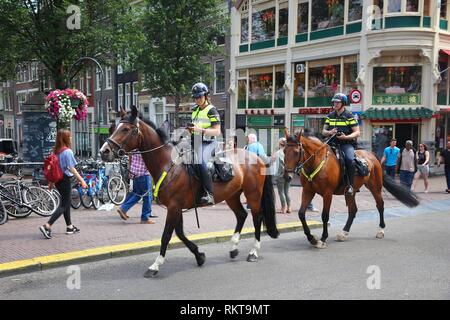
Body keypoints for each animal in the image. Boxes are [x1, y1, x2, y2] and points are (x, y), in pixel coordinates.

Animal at [100, 105, 280, 278]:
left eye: (126, 129)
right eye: (114, 127)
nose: (104, 151)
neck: (168, 165)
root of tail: (258, 157)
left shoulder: (174, 207)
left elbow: (166, 236)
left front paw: (155, 266)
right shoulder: (176, 207)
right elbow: (179, 233)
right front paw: (199, 256)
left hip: (253, 194)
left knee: (257, 217)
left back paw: (253, 252)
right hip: (232, 195)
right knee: (241, 215)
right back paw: (234, 248)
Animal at [284, 130, 418, 248]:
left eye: (296, 152)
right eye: (284, 151)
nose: (287, 176)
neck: (316, 163)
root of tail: (372, 155)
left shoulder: (327, 194)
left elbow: (325, 216)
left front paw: (322, 239)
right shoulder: (308, 191)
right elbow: (301, 214)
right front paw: (311, 238)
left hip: (375, 186)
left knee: (380, 205)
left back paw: (380, 230)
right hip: (350, 191)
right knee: (353, 210)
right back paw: (344, 233)